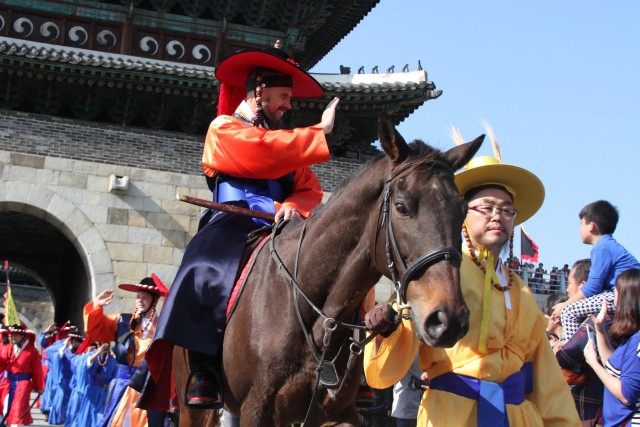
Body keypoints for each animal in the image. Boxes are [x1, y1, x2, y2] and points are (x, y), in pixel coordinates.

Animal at [175, 115, 480, 426]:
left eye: (463, 211)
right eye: (401, 207)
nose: (449, 318)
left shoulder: (336, 413)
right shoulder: (257, 409)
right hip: (193, 407)